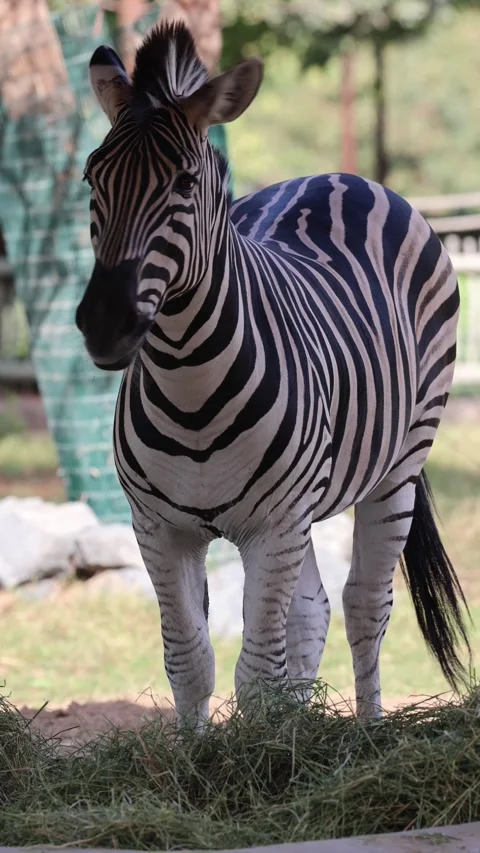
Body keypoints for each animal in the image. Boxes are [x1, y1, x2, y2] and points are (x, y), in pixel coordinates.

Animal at [76, 22, 470, 728]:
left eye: (184, 184)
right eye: (93, 178)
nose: (104, 323)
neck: (188, 382)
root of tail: (335, 175)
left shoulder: (273, 525)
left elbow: (256, 672)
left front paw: (263, 756)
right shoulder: (159, 528)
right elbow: (189, 661)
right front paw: (208, 753)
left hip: (399, 462)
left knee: (365, 605)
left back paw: (368, 732)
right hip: (303, 507)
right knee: (313, 608)